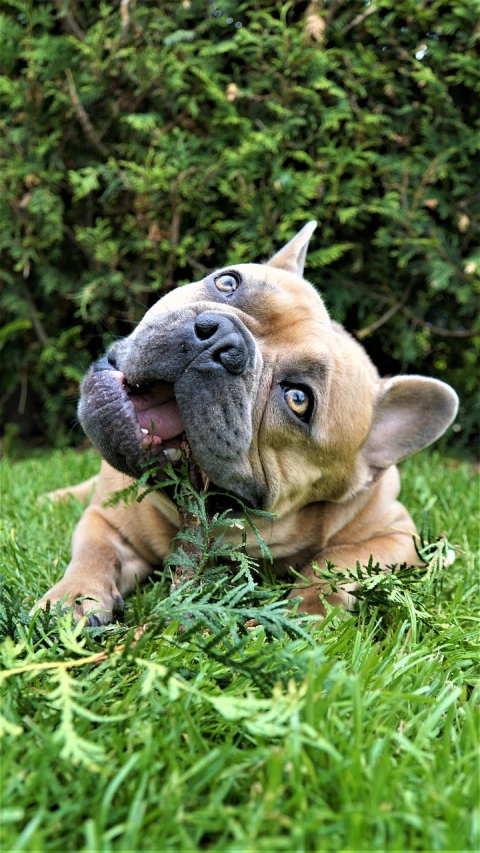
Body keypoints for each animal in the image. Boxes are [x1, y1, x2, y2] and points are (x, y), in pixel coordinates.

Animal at [33, 223, 458, 624]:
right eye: (227, 282)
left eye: (299, 399)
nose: (221, 340)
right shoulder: (106, 520)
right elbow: (95, 551)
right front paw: (73, 596)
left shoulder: (398, 534)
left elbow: (335, 560)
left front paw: (308, 610)